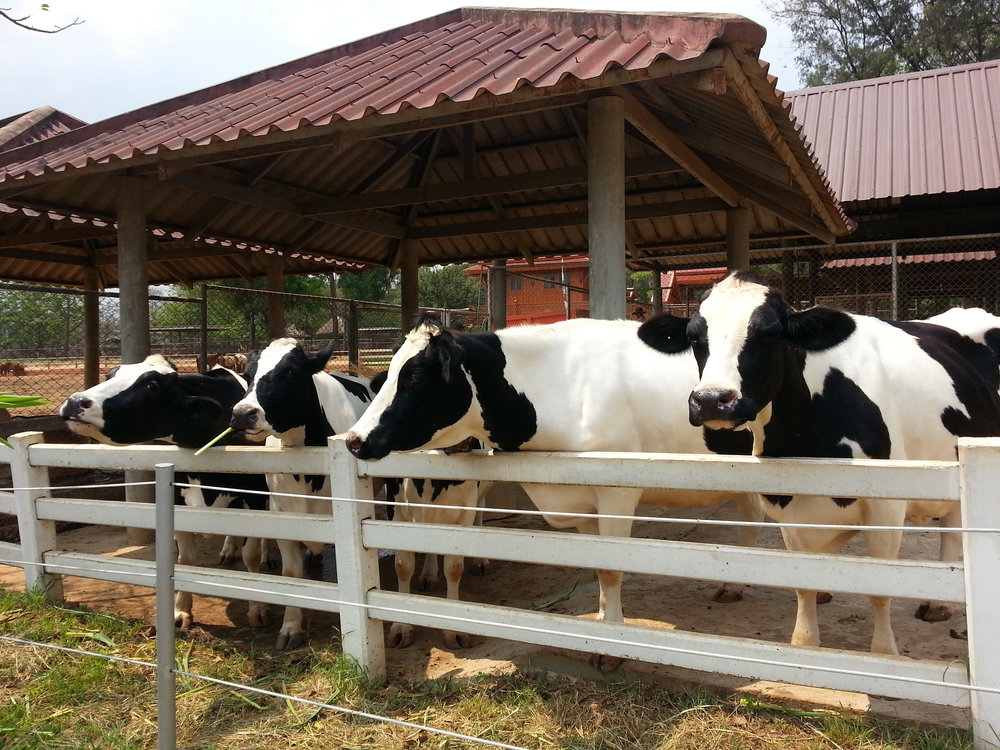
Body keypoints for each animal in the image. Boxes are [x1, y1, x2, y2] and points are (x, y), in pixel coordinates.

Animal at [58, 354, 274, 629]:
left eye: (152, 386)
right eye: (110, 375)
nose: (75, 402)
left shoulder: (254, 495)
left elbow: (251, 555)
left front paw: (258, 608)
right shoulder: (178, 499)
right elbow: (185, 559)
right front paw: (181, 611)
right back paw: (227, 549)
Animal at [229, 338, 374, 650]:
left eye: (291, 371)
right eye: (247, 374)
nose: (242, 414)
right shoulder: (283, 512)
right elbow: (291, 574)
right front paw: (291, 627)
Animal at [344, 314, 762, 670]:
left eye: (414, 378)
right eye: (387, 375)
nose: (353, 440)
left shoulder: (617, 491)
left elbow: (612, 568)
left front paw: (612, 646)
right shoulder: (582, 498)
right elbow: (599, 568)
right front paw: (602, 621)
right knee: (751, 516)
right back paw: (732, 586)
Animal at [637, 271, 1000, 655]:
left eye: (769, 333)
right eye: (694, 337)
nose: (711, 400)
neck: (803, 438)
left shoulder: (886, 505)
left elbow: (880, 588)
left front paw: (884, 651)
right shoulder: (788, 502)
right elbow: (804, 581)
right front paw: (806, 640)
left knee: (953, 527)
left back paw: (936, 605)